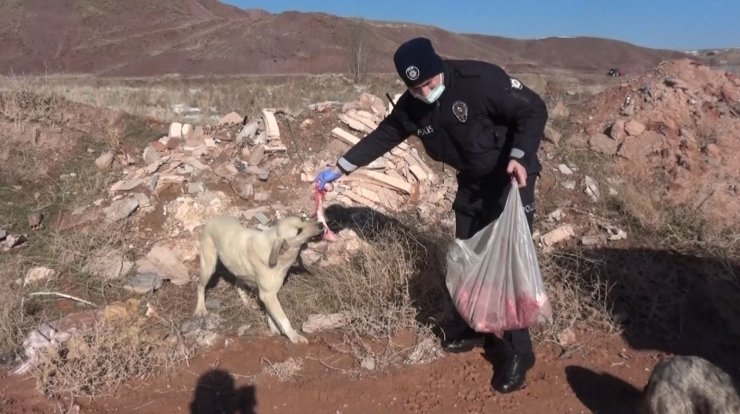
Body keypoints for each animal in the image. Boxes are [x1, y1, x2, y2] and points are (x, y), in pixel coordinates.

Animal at [195, 215, 322, 344]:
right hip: (208, 267)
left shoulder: (267, 294)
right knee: (200, 287)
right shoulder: (268, 294)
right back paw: (200, 308)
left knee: (238, 284)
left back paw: (246, 302)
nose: (321, 224)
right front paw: (293, 336)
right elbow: (283, 318)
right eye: (299, 231)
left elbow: (271, 313)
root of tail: (213, 219)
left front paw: (273, 328)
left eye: (302, 219)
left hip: (239, 270)